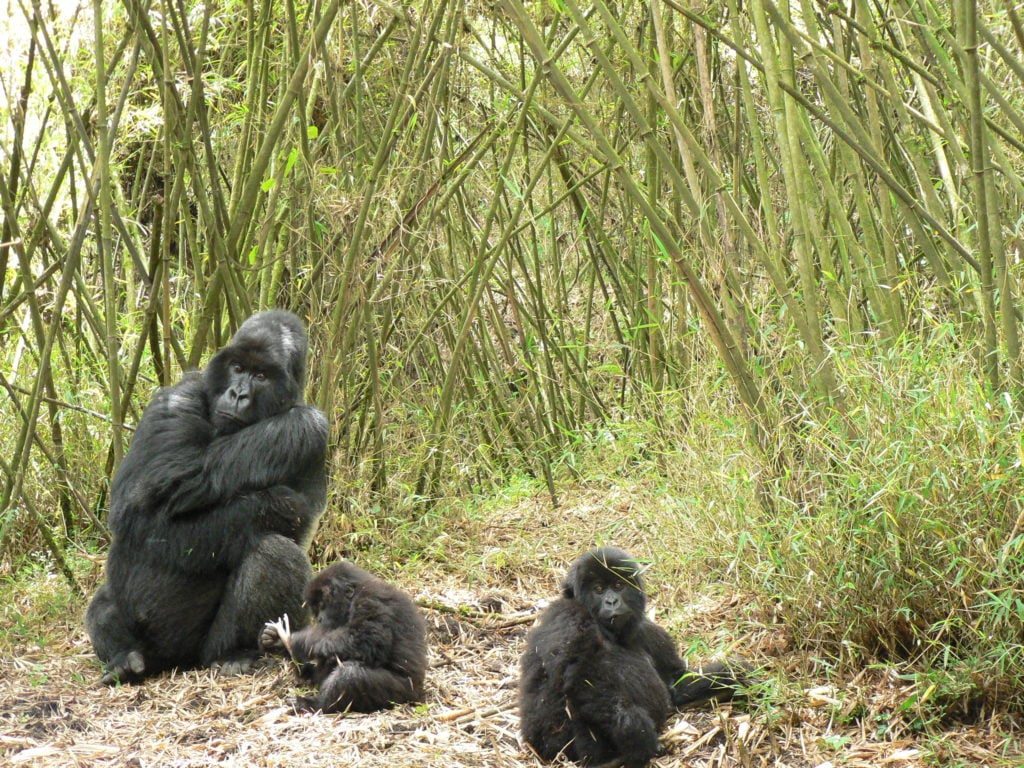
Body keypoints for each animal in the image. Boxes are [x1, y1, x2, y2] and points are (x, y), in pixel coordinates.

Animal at [88, 311, 329, 684]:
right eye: (237, 368)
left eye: (261, 376)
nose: (238, 393)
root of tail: (172, 662)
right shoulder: (176, 398)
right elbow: (144, 504)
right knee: (103, 602)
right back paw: (124, 656)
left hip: (203, 651)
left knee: (274, 554)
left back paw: (236, 653)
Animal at [262, 561, 430, 716]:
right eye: (316, 608)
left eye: (323, 605)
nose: (320, 619)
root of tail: (419, 694)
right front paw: (280, 643)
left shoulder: (370, 601)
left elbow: (367, 640)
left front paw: (299, 641)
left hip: (401, 694)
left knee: (350, 674)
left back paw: (315, 705)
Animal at [520, 548, 745, 768]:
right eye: (598, 589)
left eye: (618, 585)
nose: (612, 601)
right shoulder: (567, 616)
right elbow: (575, 677)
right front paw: (634, 729)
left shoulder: (650, 632)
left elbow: (675, 681)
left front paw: (732, 676)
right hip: (552, 746)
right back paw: (608, 761)